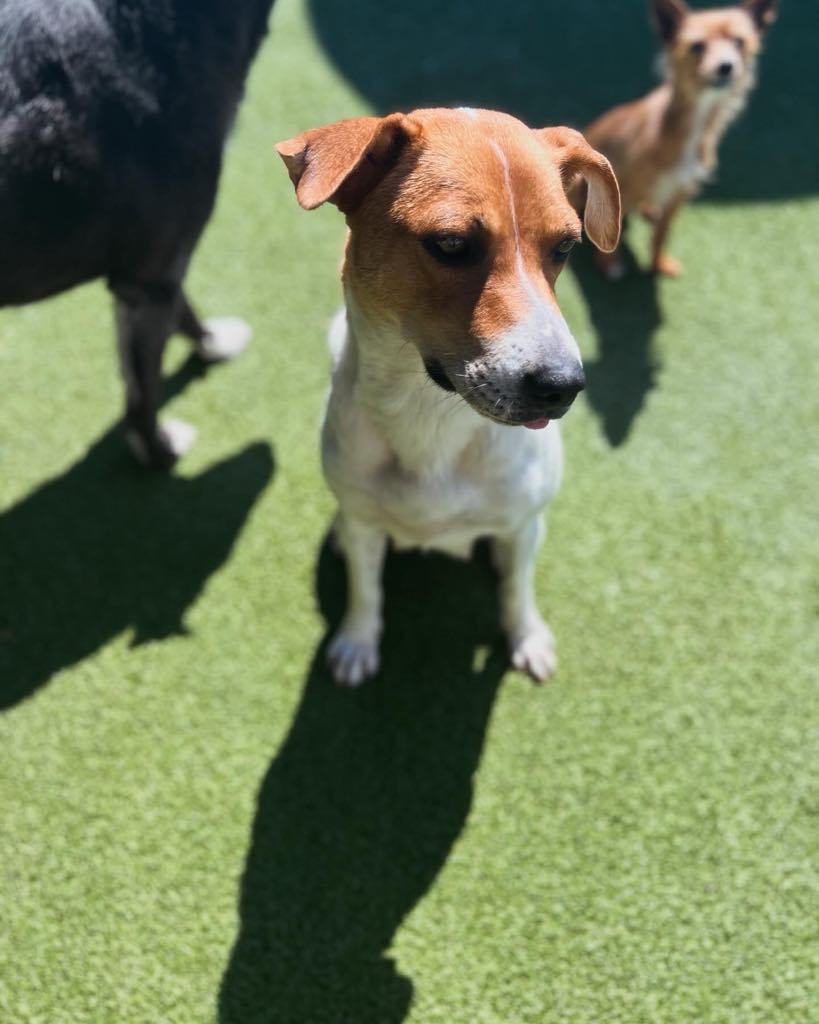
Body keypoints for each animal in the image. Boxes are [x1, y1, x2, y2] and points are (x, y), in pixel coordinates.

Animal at [0, 0, 276, 464]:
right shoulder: (150, 280)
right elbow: (142, 389)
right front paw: (159, 452)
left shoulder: (155, 270)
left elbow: (184, 310)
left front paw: (211, 342)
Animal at [276, 110, 622, 688]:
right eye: (452, 244)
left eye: (564, 248)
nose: (564, 386)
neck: (430, 418)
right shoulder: (366, 524)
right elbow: (366, 590)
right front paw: (357, 641)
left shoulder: (521, 525)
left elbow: (517, 590)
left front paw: (526, 636)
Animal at [585, 0, 778, 278]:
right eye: (697, 46)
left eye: (739, 41)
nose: (726, 66)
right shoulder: (625, 188)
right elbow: (613, 232)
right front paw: (609, 264)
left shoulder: (681, 193)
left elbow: (662, 234)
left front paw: (658, 264)